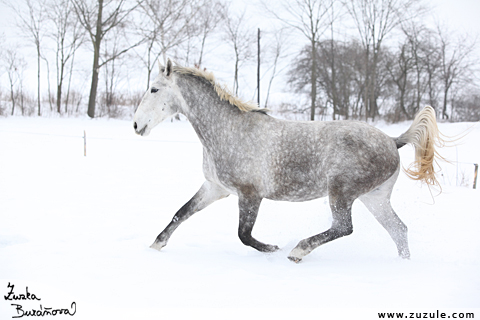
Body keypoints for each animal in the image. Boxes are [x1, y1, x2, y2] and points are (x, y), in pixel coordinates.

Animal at [133, 60, 444, 262]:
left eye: (154, 89)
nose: (137, 125)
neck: (229, 131)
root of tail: (392, 141)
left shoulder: (250, 194)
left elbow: (244, 235)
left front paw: (275, 249)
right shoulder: (214, 188)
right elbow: (180, 213)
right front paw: (155, 246)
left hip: (342, 193)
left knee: (344, 227)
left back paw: (297, 251)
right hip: (374, 198)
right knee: (398, 230)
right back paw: (403, 265)